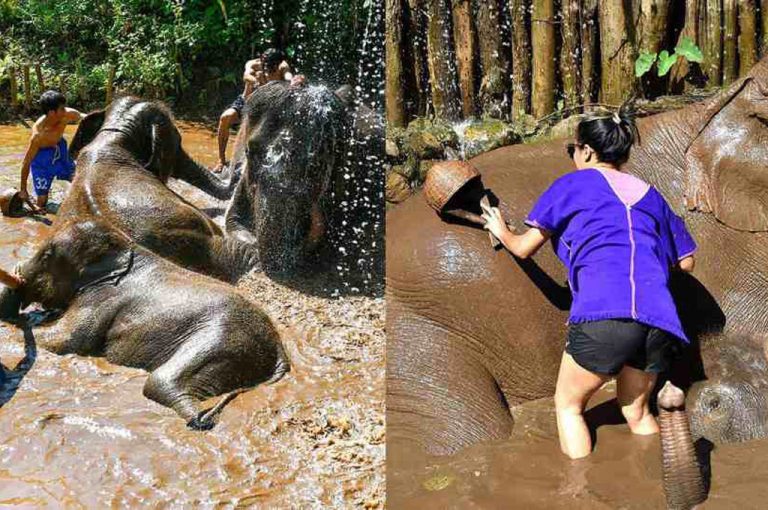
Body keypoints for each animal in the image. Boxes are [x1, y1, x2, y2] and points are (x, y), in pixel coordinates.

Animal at [0, 221, 290, 428]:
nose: (18, 274)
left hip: (220, 339)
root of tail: (278, 346)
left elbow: (62, 342)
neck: (125, 246)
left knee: (159, 382)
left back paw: (200, 419)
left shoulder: (101, 297)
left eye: (47, 255)